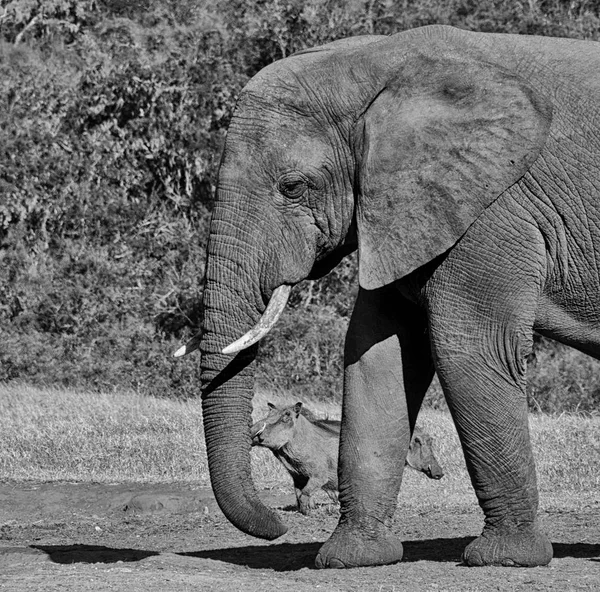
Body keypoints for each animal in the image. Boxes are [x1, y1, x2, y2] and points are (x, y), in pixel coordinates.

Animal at [175, 26, 600, 568]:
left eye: (292, 187)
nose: (276, 528)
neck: (373, 61)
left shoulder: (493, 208)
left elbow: (470, 351)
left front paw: (506, 558)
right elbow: (375, 357)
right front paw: (349, 558)